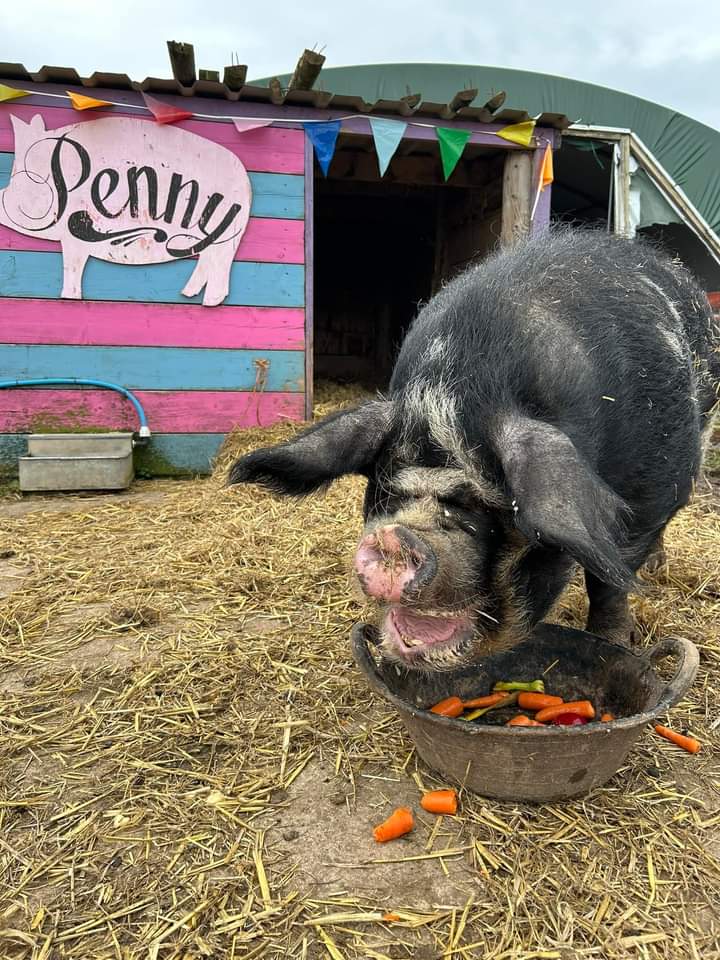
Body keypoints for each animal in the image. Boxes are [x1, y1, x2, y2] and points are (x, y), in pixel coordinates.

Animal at [229, 230, 720, 672]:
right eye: (387, 488)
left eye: (485, 504)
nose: (395, 537)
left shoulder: (652, 493)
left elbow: (609, 581)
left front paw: (615, 643)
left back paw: (654, 568)